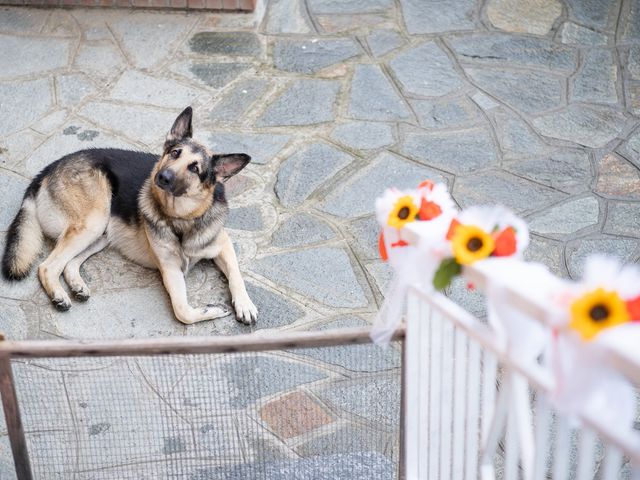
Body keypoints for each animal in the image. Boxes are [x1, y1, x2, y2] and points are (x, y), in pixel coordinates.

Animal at [3, 108, 258, 326]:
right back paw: (58, 294)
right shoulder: (170, 269)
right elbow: (183, 311)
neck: (183, 219)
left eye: (194, 168)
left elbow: (236, 275)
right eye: (175, 153)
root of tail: (47, 169)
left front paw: (245, 304)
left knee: (68, 264)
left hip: (101, 233)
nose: (163, 177)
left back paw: (76, 285)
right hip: (93, 222)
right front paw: (213, 310)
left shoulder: (223, 244)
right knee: (47, 266)